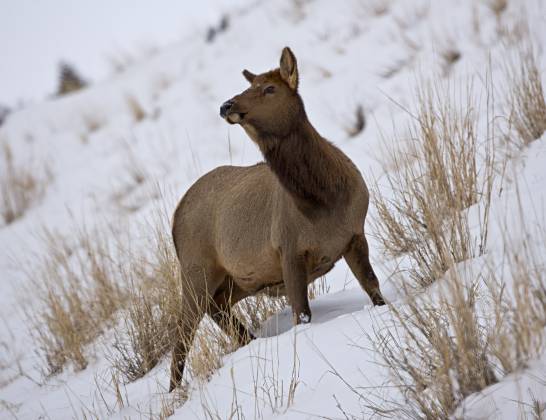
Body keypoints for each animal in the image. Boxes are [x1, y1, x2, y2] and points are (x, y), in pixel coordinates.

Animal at [168, 47, 384, 392]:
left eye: (270, 88)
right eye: (249, 85)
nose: (227, 105)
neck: (324, 202)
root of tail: (175, 218)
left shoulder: (354, 235)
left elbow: (373, 287)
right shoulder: (288, 250)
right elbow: (302, 313)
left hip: (236, 279)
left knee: (217, 308)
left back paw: (249, 340)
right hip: (195, 270)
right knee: (183, 331)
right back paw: (175, 391)